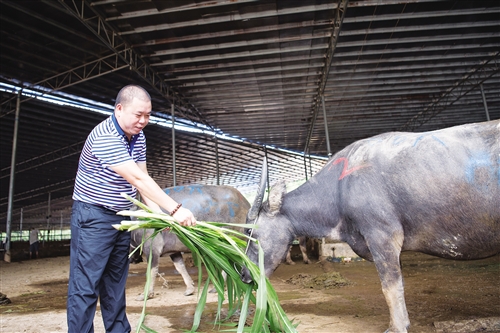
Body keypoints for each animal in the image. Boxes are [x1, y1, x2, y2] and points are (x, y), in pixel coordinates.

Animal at [240, 120, 498, 332]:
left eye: (251, 232)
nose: (243, 275)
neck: (340, 187)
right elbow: (398, 284)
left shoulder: (382, 235)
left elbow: (389, 286)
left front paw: (396, 327)